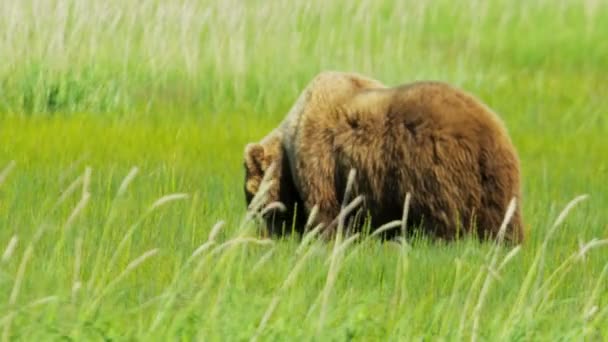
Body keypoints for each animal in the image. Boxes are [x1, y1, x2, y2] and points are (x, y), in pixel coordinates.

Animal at [242, 71, 524, 243]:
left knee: (442, 219)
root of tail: (490, 134)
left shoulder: (319, 159)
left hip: (434, 174)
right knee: (502, 224)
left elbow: (325, 213)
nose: (265, 229)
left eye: (249, 194)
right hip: (496, 187)